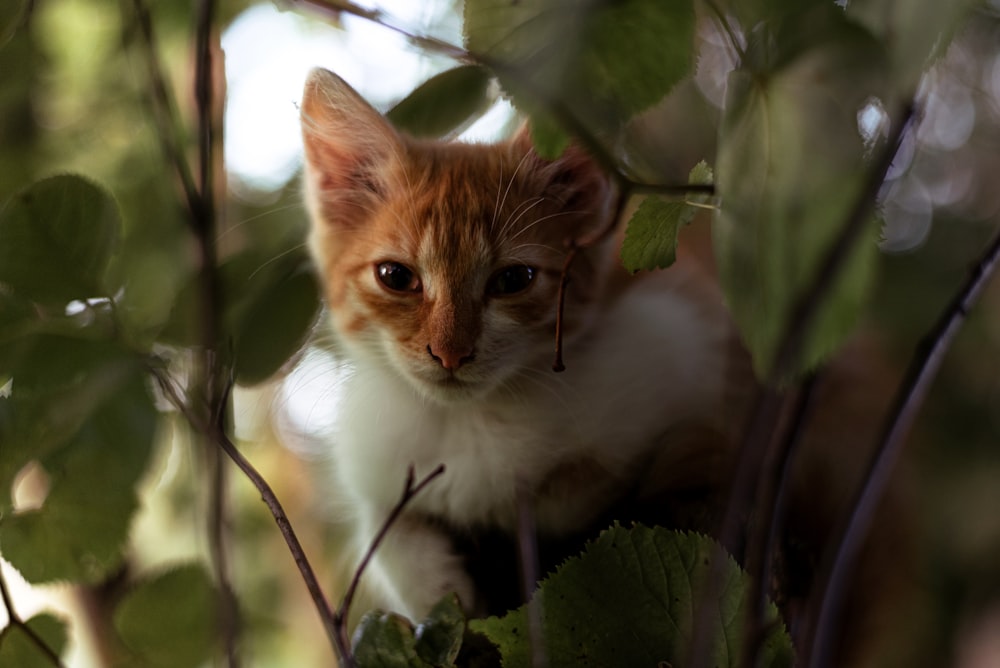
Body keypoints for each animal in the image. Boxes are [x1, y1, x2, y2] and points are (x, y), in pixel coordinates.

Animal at [294, 68, 736, 620]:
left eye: (513, 280)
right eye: (396, 277)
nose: (451, 352)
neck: (468, 420)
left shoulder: (681, 339)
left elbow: (601, 477)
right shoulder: (373, 464)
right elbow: (392, 540)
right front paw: (442, 589)